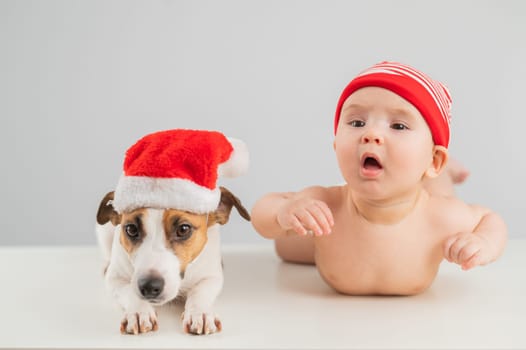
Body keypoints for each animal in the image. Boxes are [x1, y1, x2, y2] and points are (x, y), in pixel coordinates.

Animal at [96, 187, 252, 334]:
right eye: (131, 229)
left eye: (183, 229)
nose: (149, 286)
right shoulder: (116, 278)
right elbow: (129, 291)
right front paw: (139, 312)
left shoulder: (211, 276)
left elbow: (200, 292)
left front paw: (199, 313)